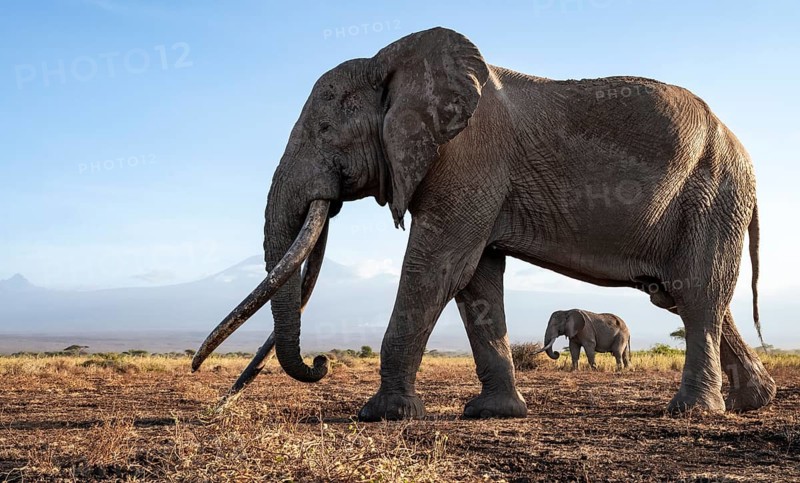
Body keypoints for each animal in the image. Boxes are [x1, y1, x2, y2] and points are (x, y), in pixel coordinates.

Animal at [192, 27, 776, 420]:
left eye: (324, 129)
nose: (319, 363)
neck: (392, 63)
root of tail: (741, 148)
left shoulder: (470, 157)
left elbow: (437, 267)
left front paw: (383, 415)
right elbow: (476, 281)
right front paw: (493, 413)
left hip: (714, 194)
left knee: (696, 293)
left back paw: (695, 413)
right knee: (682, 297)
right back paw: (752, 402)